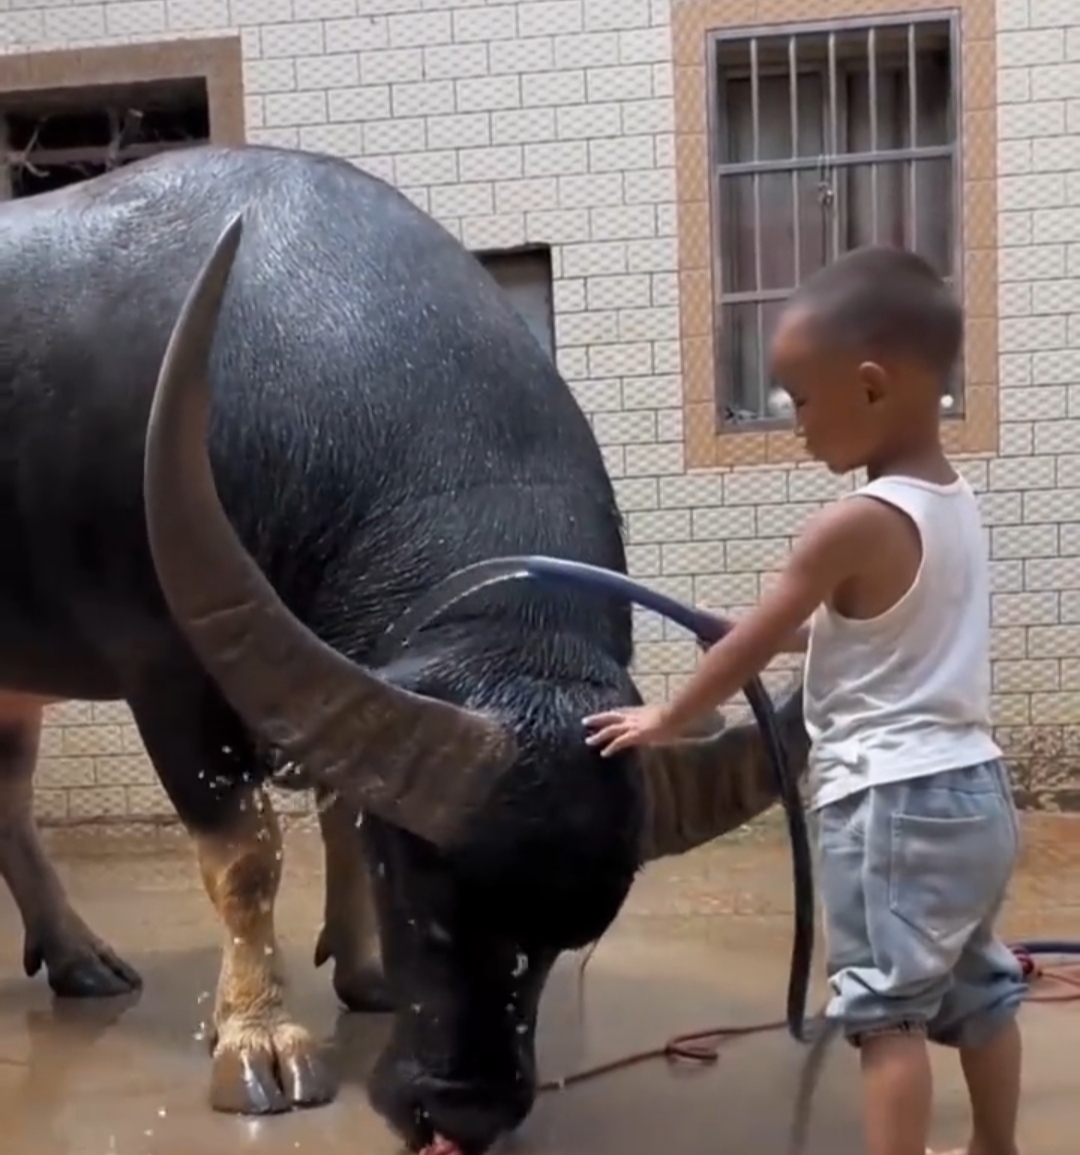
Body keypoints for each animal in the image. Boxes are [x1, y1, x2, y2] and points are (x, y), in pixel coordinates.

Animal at [0, 146, 808, 1155]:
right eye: (420, 888)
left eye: (574, 931)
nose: (464, 1109)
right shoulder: (170, 679)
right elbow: (248, 854)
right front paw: (261, 1037)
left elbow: (346, 807)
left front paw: (365, 975)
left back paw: (80, 959)